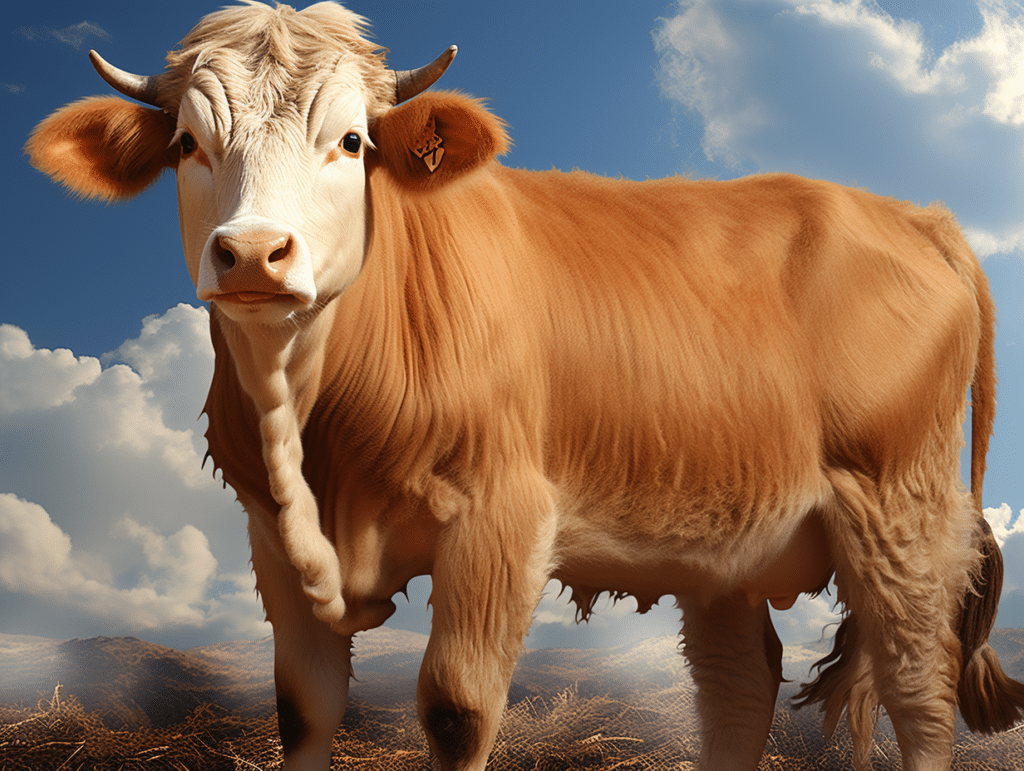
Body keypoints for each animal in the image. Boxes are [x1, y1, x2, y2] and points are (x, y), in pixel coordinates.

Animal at [25, 2, 1024, 769]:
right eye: (188, 143)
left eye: (351, 141)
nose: (253, 252)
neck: (311, 436)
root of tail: (915, 213)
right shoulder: (271, 540)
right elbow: (302, 713)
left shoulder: (499, 516)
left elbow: (456, 709)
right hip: (730, 537)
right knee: (740, 688)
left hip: (897, 509)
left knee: (919, 688)